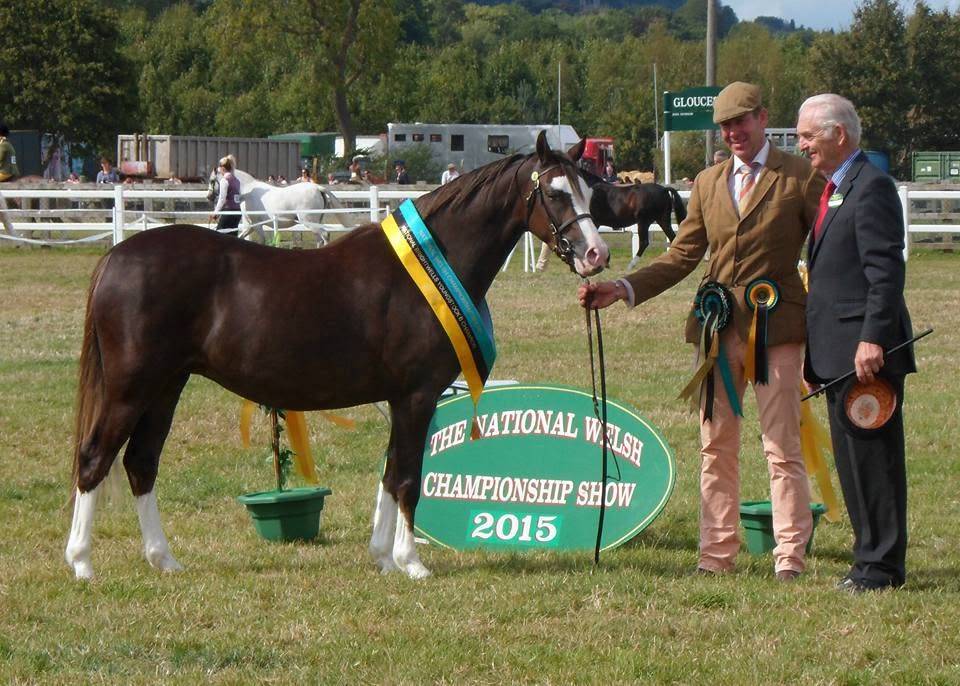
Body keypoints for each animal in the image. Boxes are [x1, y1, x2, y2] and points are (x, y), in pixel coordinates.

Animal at [206, 168, 358, 246]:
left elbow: (262, 240)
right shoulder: (250, 225)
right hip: (315, 222)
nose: (208, 197)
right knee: (320, 239)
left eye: (212, 180)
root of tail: (318, 188)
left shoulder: (257, 224)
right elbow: (241, 236)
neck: (247, 190)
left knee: (325, 235)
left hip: (308, 221)